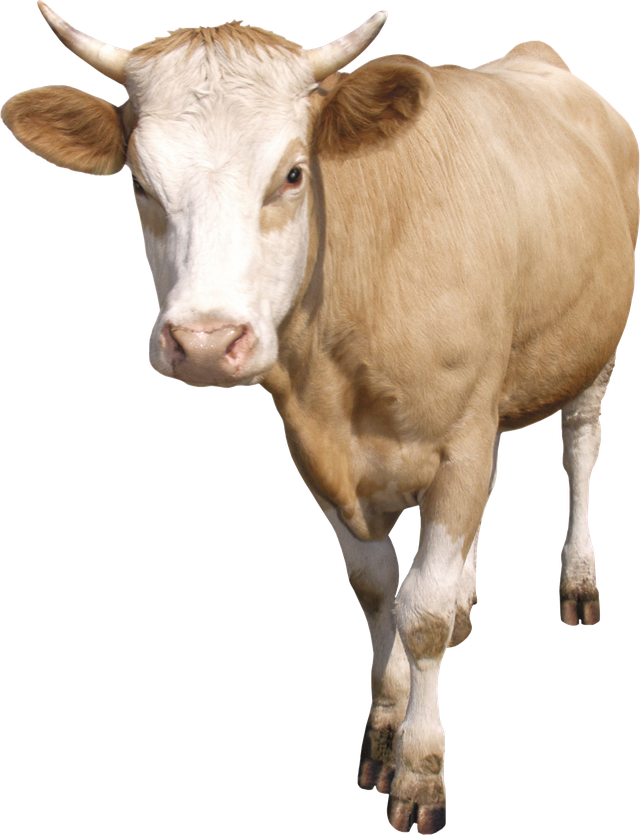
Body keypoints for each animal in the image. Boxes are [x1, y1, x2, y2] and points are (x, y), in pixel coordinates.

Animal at [2, 4, 637, 833]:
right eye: (139, 182)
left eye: (294, 173)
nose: (204, 341)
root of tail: (539, 59)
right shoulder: (315, 451)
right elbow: (378, 589)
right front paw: (384, 728)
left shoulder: (458, 441)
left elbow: (422, 611)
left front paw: (420, 771)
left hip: (598, 346)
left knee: (579, 449)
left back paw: (577, 582)